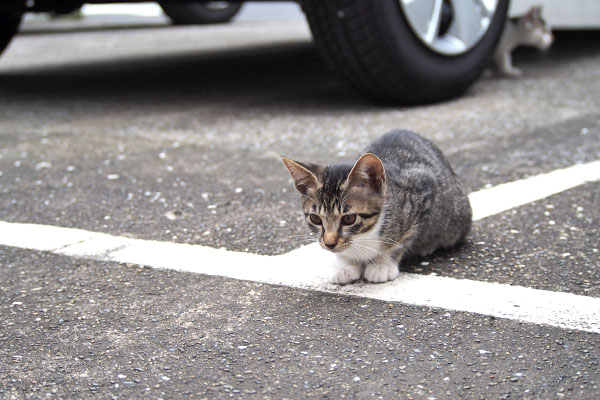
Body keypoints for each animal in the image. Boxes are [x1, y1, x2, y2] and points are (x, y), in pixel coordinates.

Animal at [284, 131, 472, 284]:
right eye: (315, 218)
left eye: (349, 218)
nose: (330, 244)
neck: (363, 236)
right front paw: (345, 265)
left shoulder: (423, 192)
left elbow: (398, 242)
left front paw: (381, 265)